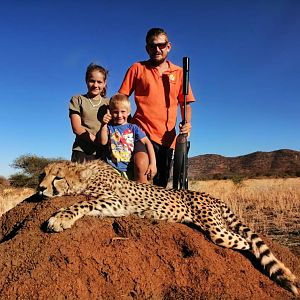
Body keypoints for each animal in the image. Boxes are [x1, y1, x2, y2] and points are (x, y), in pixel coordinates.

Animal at [38, 159, 298, 296]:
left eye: (58, 177)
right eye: (42, 174)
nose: (40, 188)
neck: (88, 176)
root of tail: (212, 196)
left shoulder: (117, 202)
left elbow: (83, 203)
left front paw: (60, 218)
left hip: (217, 231)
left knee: (246, 242)